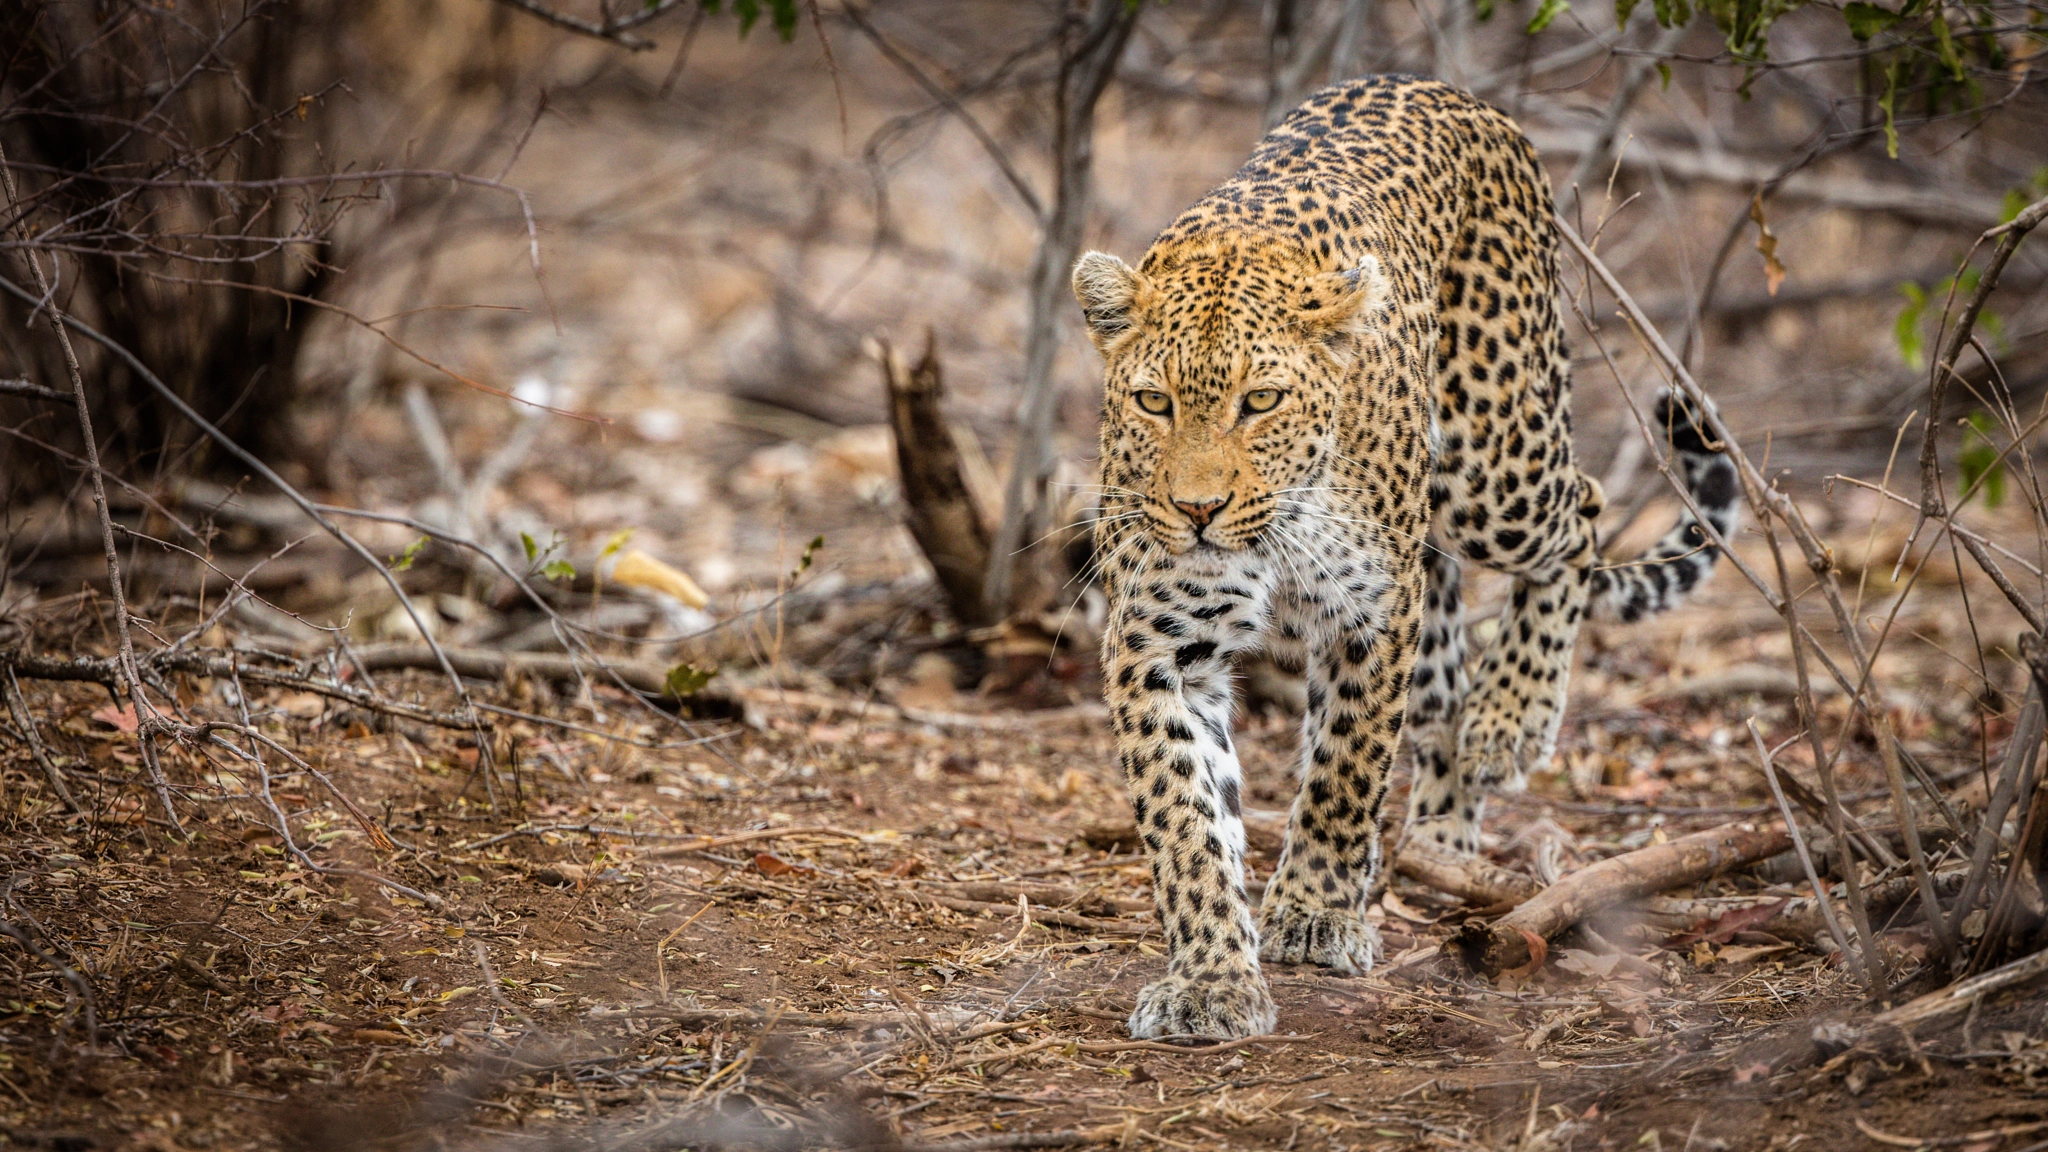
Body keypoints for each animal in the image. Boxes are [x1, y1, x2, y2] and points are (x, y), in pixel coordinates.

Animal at [1081, 76, 1736, 1037]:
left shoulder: (1373, 611)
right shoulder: (1159, 644)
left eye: (1261, 401)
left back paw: (1511, 716)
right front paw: (1210, 978)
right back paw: (1444, 838)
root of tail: (1453, 95)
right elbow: (1186, 822)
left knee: (1580, 512)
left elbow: (1346, 771)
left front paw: (1314, 914)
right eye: (1153, 402)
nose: (1199, 510)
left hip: (1493, 465)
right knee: (1442, 701)